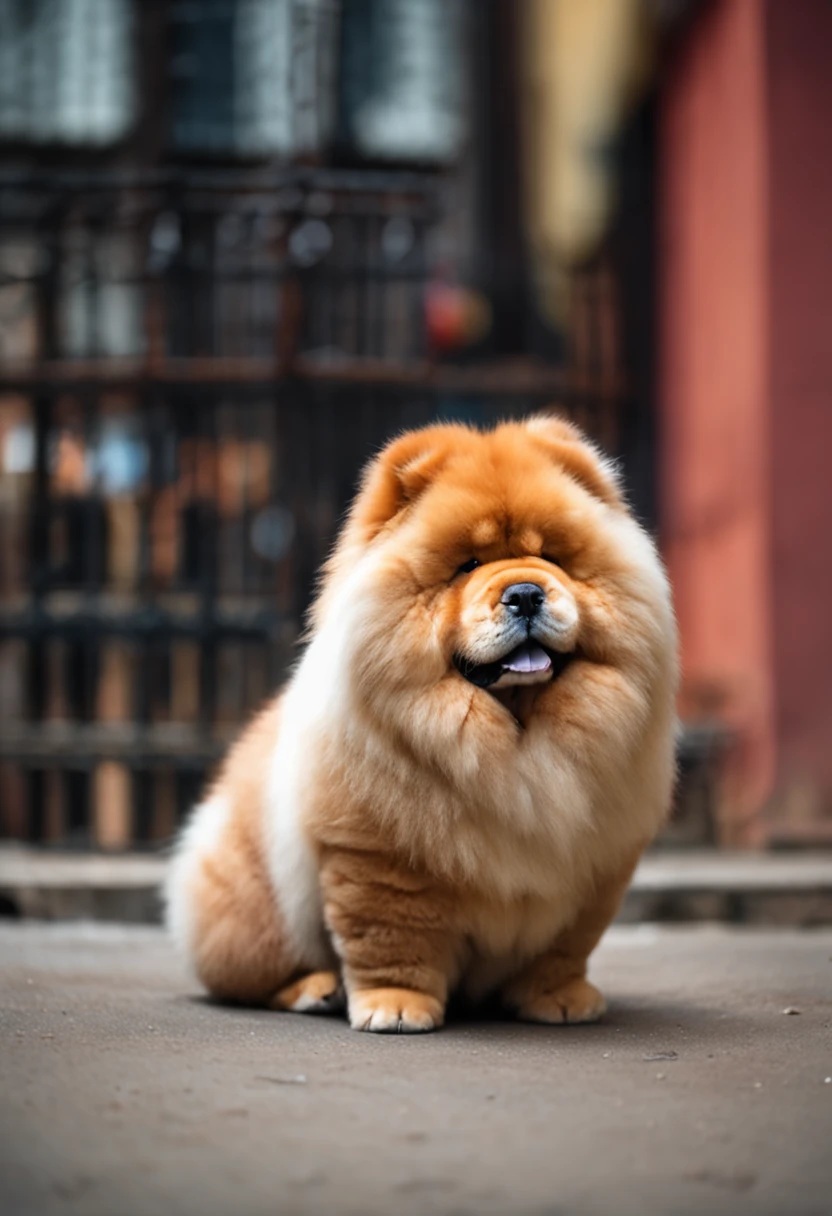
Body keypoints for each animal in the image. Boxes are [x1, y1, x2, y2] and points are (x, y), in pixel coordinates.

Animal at [164, 413, 676, 1031]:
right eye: (468, 566)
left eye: (551, 558)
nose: (526, 591)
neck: (515, 741)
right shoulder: (377, 856)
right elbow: (391, 938)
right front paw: (396, 1007)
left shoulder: (594, 866)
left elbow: (564, 947)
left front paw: (559, 999)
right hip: (254, 911)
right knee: (254, 975)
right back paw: (314, 989)